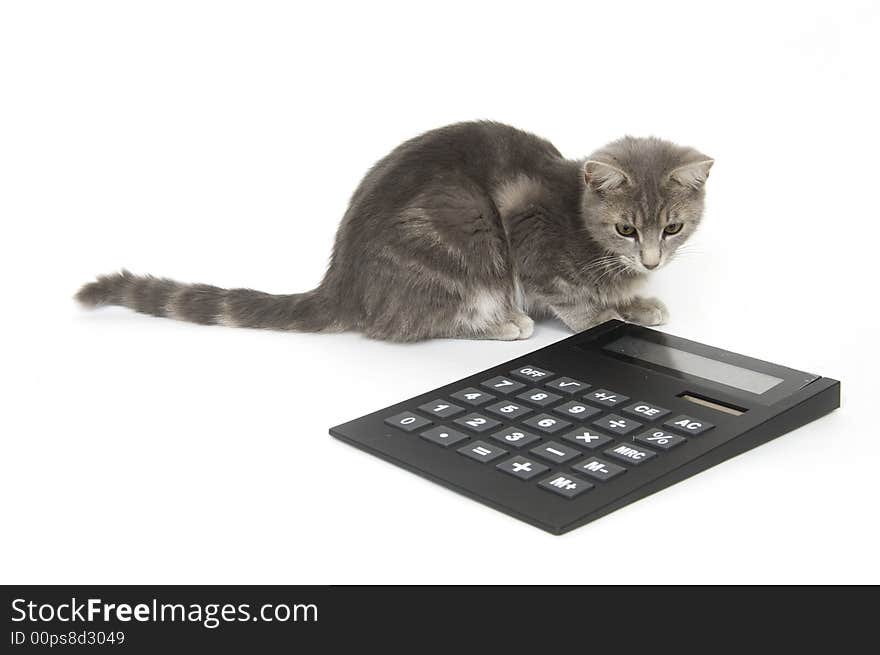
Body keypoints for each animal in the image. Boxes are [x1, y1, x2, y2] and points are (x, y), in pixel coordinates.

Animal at [77, 120, 716, 344]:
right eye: (626, 228)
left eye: (673, 227)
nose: (653, 261)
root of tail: (342, 282)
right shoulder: (528, 231)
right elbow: (566, 295)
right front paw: (607, 315)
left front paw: (639, 302)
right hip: (467, 230)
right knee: (413, 323)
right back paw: (503, 323)